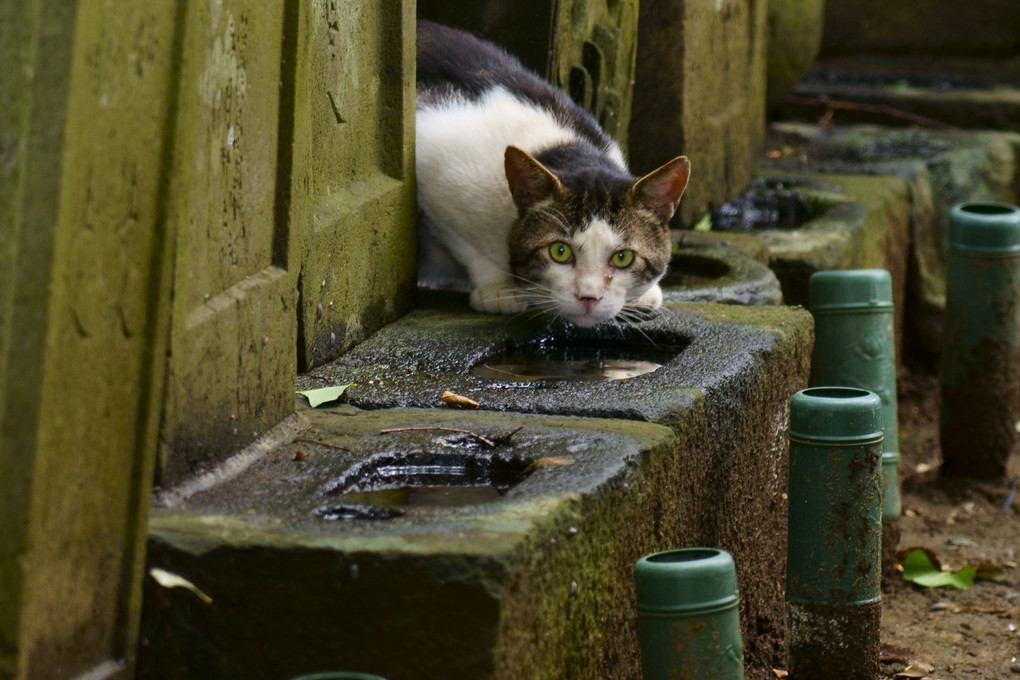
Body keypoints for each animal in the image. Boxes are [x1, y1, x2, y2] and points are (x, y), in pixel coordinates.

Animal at [416, 20, 693, 328]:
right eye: (560, 252)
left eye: (623, 258)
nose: (589, 297)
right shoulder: (433, 161)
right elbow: (469, 244)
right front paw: (498, 290)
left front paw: (644, 295)